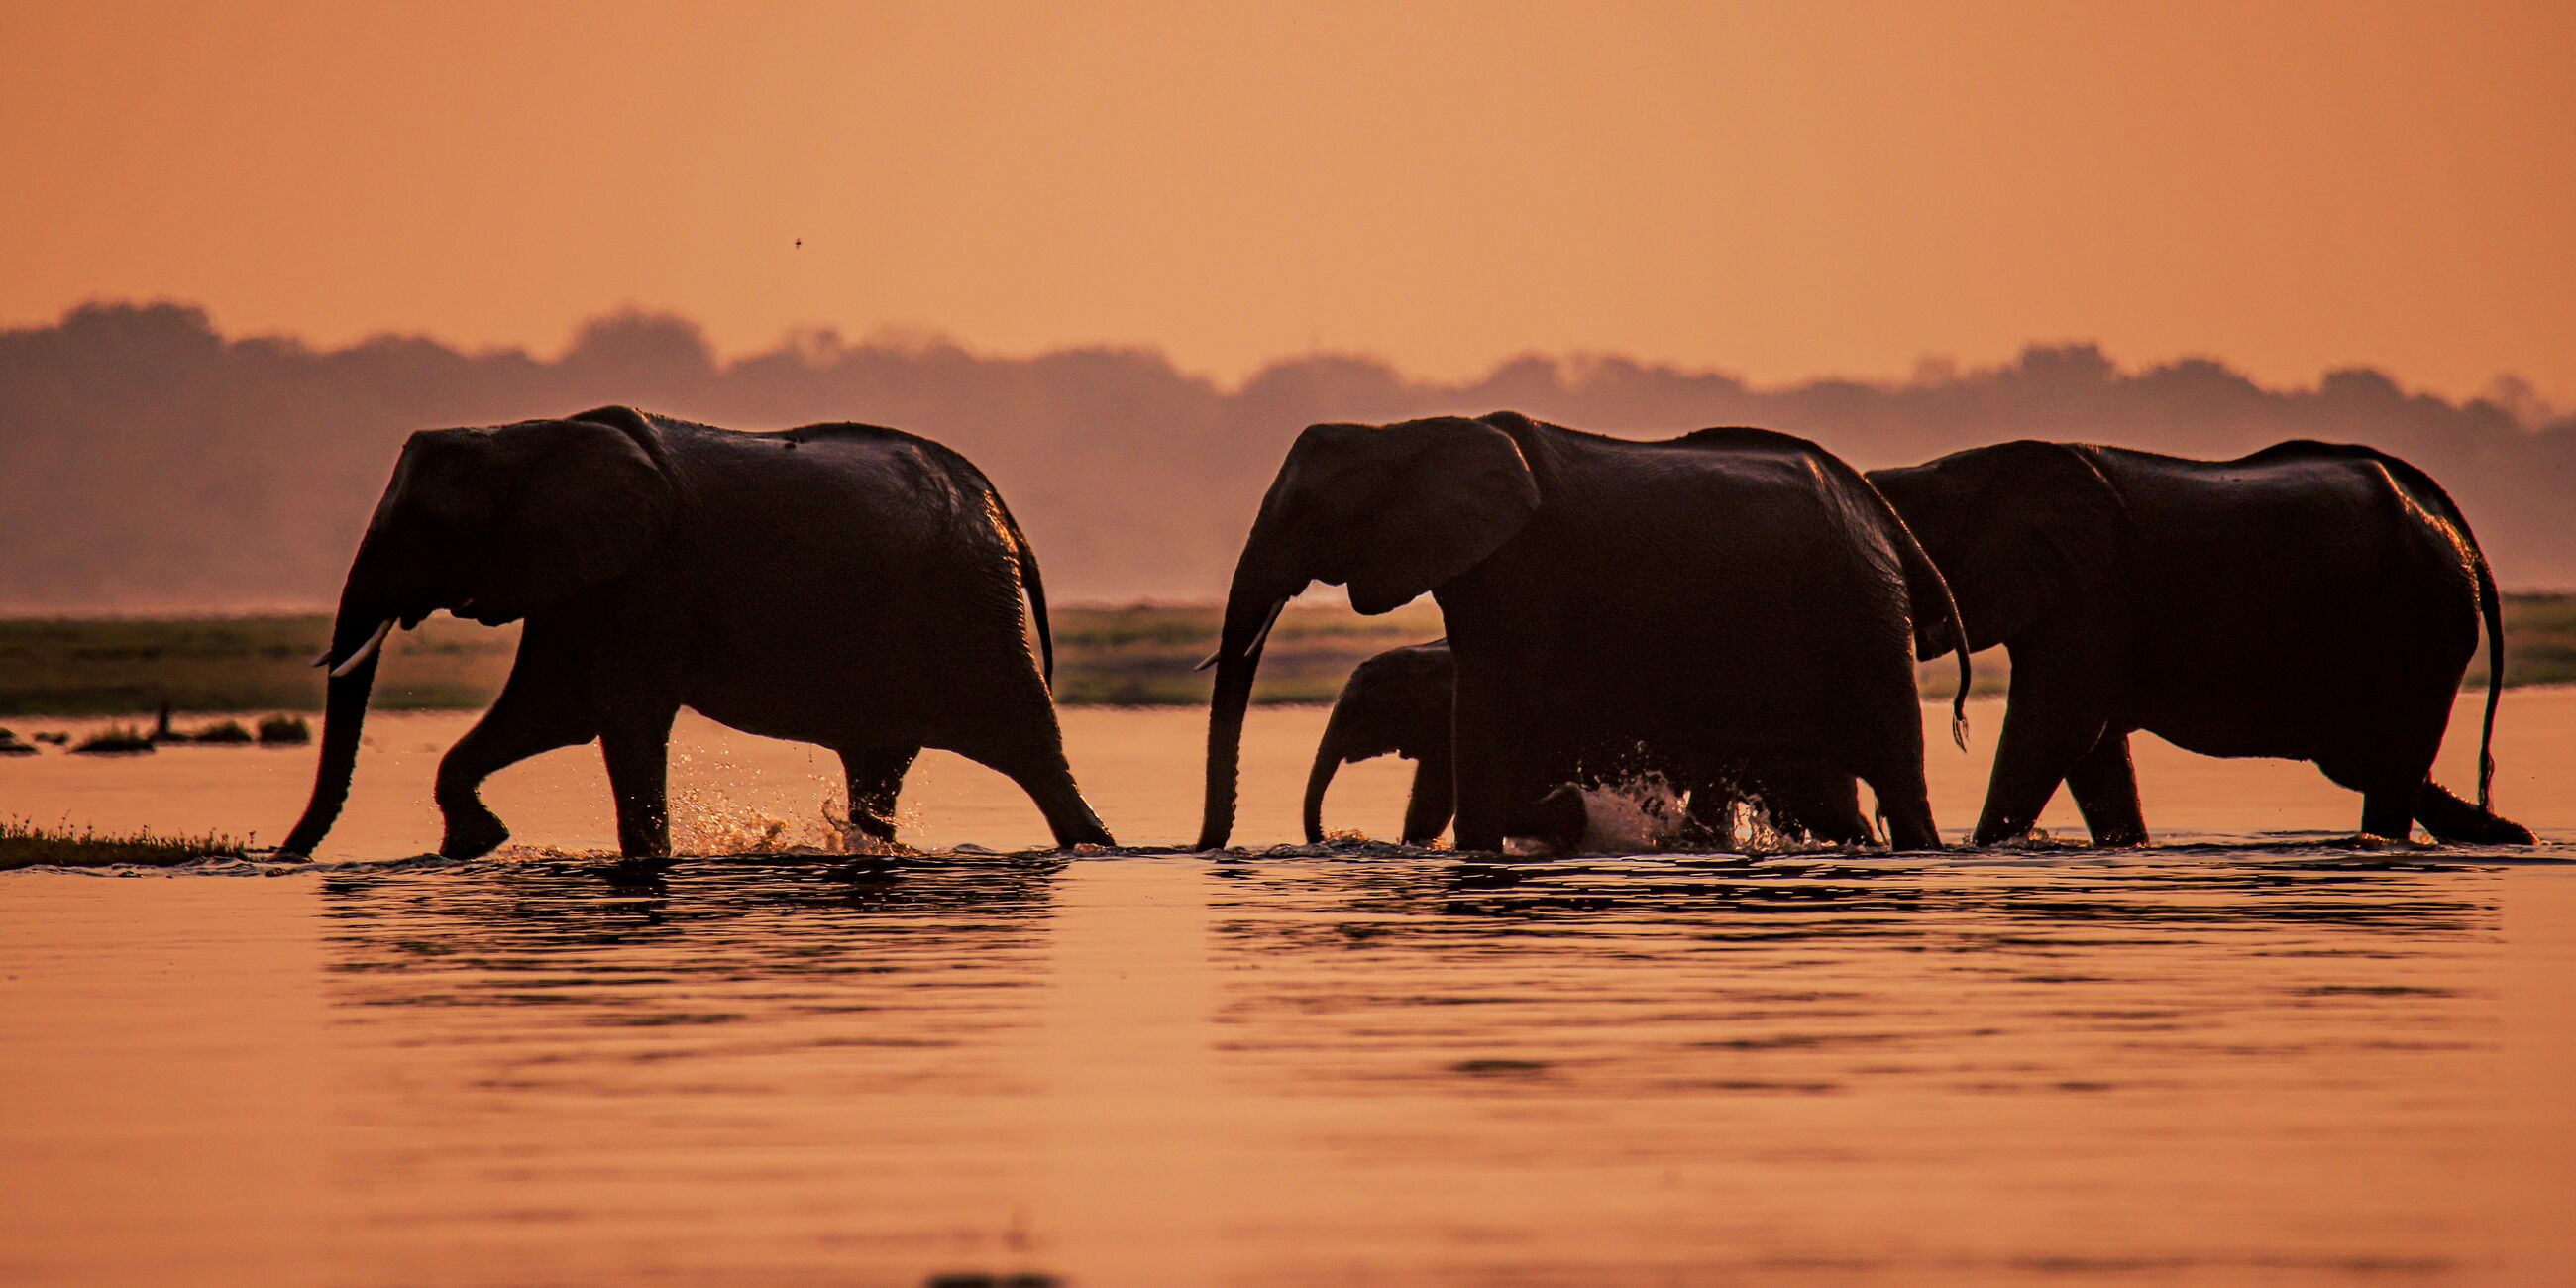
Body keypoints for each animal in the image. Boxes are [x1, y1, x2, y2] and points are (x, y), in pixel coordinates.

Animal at [278, 406, 1114, 860]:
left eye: (423, 526)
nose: (275, 857)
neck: (525, 437)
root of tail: (998, 507)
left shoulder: (644, 576)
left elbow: (619, 714)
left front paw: (646, 860)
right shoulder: (582, 578)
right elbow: (552, 711)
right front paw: (472, 844)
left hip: (970, 603)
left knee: (1028, 744)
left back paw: (1097, 847)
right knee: (880, 763)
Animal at [1867, 439, 2534, 847]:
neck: (1959, 471)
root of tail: (2453, 523)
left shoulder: (2095, 593)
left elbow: (2055, 728)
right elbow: (2091, 748)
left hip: (2424, 617)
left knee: (2384, 766)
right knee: (2373, 762)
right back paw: (2512, 837)